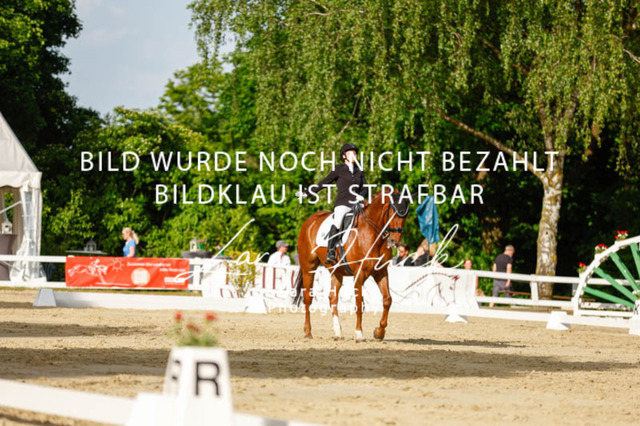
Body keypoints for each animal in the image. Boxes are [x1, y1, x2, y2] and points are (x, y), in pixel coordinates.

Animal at [293, 190, 412, 342]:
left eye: (405, 215)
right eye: (392, 212)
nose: (394, 241)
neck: (372, 235)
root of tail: (311, 219)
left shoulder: (380, 272)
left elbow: (387, 300)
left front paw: (379, 332)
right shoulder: (359, 274)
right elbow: (359, 303)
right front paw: (359, 334)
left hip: (336, 272)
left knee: (333, 298)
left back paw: (338, 332)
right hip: (309, 268)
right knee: (308, 298)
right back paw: (308, 332)